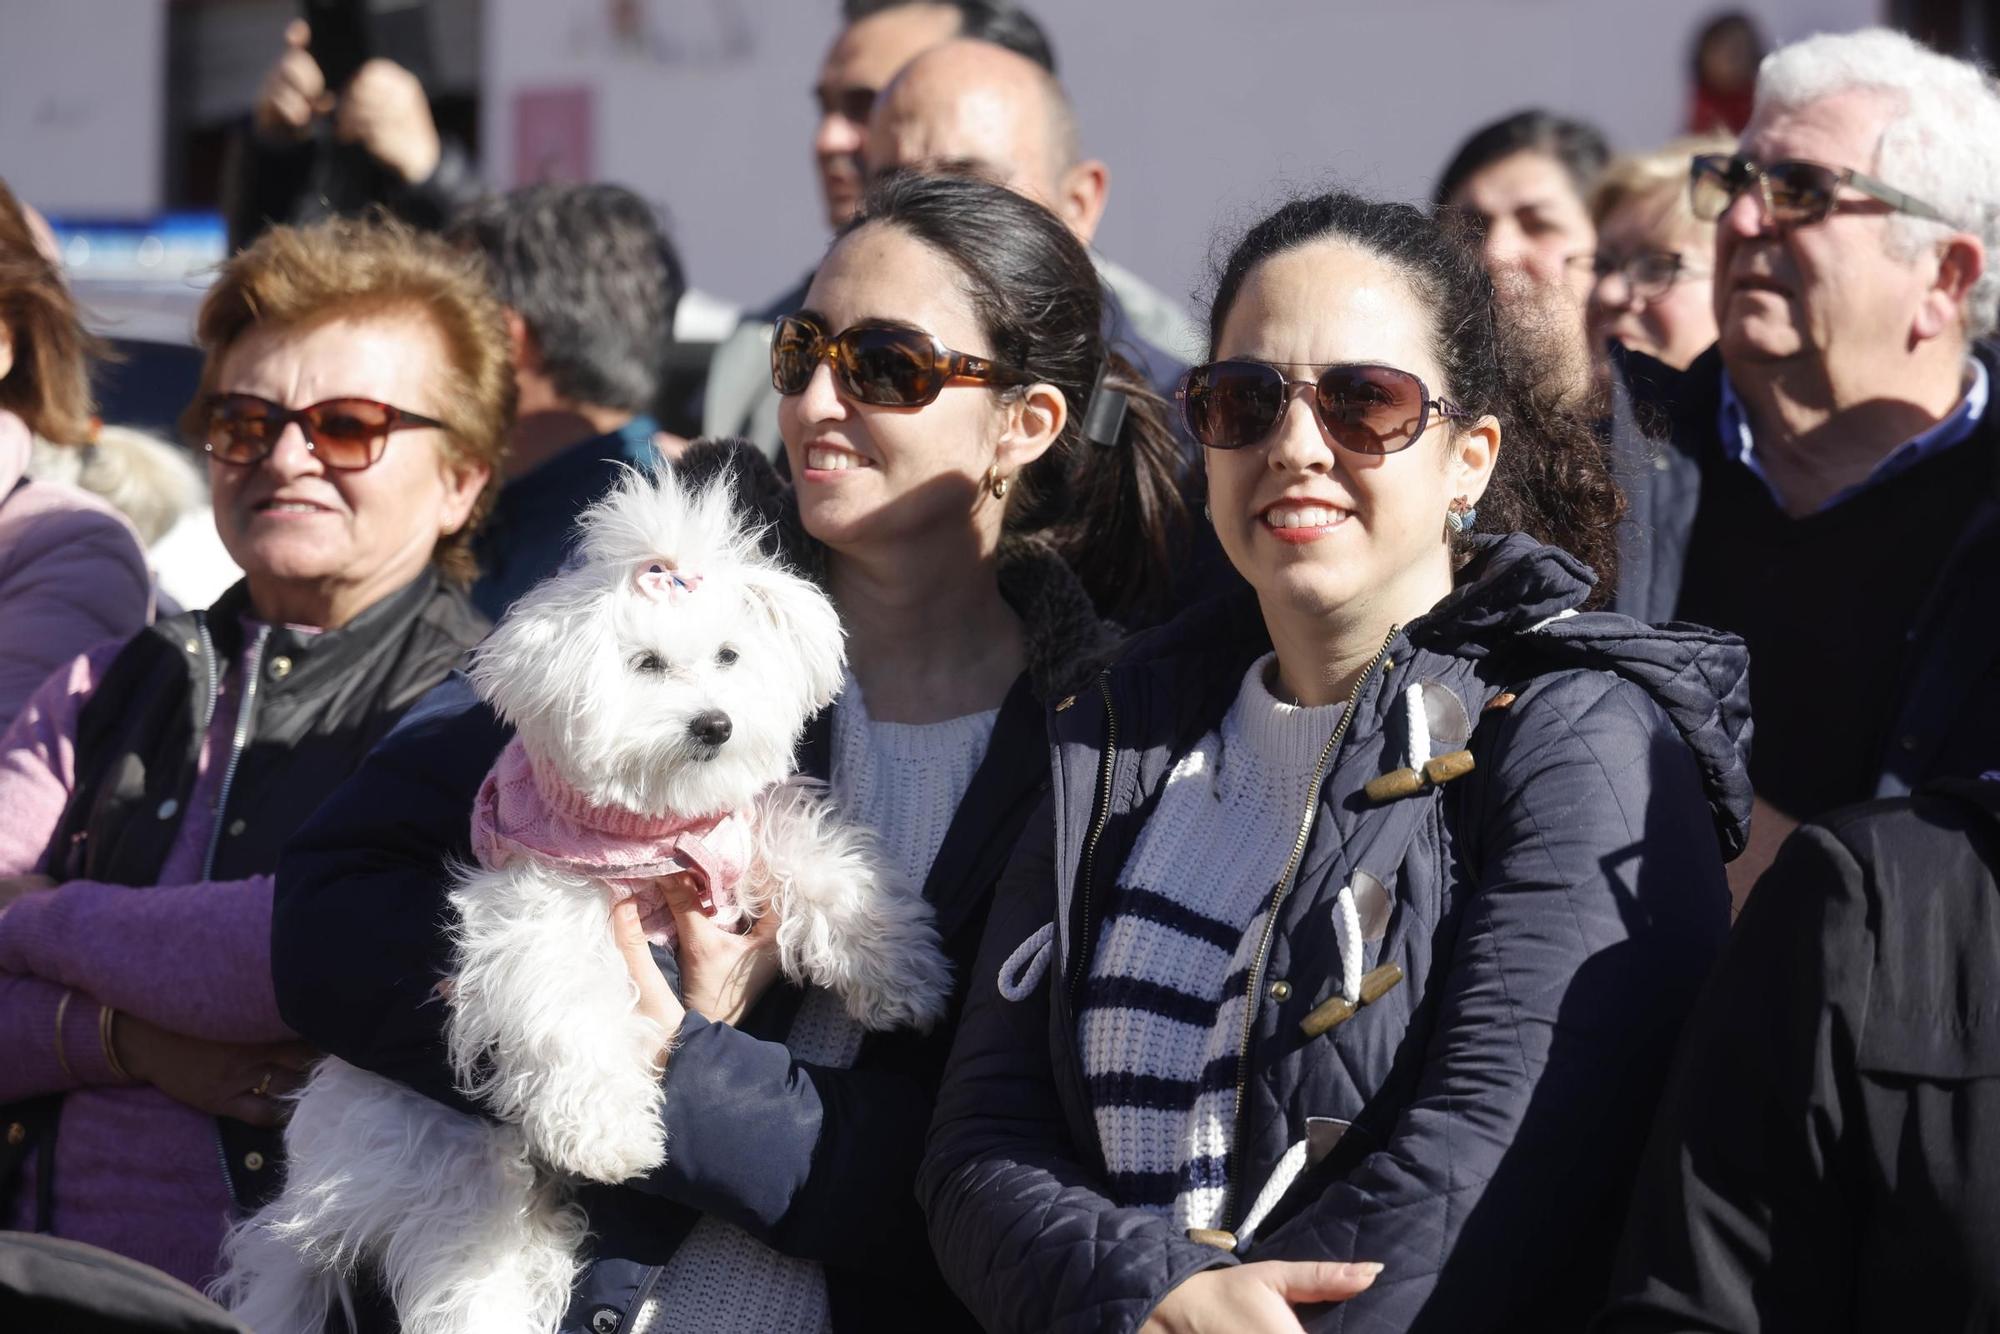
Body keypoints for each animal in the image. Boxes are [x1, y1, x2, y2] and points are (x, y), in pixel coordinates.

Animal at [211, 470, 952, 1334]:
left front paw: (903, 975)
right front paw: (609, 1134)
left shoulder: (742, 836)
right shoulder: (542, 908)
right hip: (463, 1179)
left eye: (730, 655)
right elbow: (571, 1003)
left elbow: (822, 865)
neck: (654, 826)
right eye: (647, 664)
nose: (715, 724)